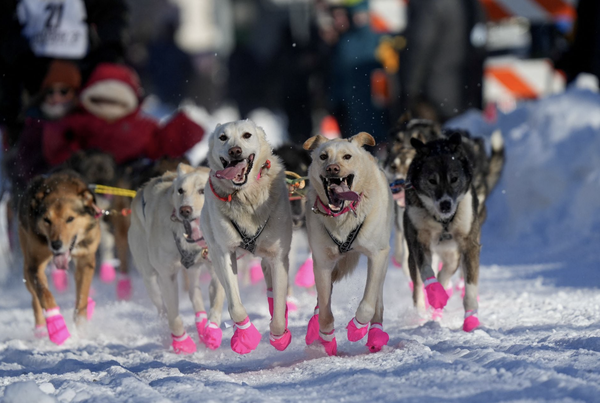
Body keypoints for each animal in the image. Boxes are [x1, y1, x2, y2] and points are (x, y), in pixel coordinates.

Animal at [17, 172, 100, 346]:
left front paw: (82, 329)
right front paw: (57, 325)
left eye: (70, 218)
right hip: (27, 265)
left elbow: (81, 297)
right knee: (35, 298)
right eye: (47, 220)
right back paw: (41, 329)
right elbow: (44, 295)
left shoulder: (86, 260)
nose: (56, 245)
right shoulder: (35, 265)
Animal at [129, 164, 225, 354]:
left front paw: (211, 331)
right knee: (162, 309)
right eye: (180, 190)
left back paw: (201, 322)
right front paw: (182, 342)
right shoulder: (167, 276)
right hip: (150, 278)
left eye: (202, 190)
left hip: (194, 269)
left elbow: (217, 299)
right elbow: (174, 315)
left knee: (194, 293)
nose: (184, 210)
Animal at [202, 118, 292, 356]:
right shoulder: (225, 253)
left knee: (272, 290)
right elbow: (235, 306)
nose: (234, 150)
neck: (245, 197)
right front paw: (246, 336)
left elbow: (278, 308)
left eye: (247, 135)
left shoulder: (278, 257)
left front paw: (279, 336)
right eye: (223, 137)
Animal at [302, 133, 396, 356]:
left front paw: (357, 328)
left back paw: (375, 334)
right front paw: (327, 338)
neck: (343, 217)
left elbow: (368, 303)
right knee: (322, 301)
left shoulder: (377, 255)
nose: (332, 169)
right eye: (323, 156)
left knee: (377, 299)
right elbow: (325, 311)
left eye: (347, 156)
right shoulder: (322, 263)